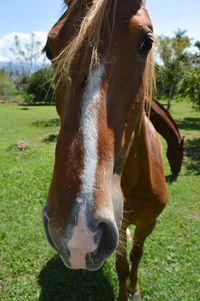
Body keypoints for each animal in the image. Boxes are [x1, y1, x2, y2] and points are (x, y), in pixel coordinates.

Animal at [43, 1, 168, 298]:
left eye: (146, 42)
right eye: (49, 50)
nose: (78, 231)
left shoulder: (148, 223)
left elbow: (136, 255)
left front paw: (134, 288)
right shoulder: (119, 228)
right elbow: (122, 265)